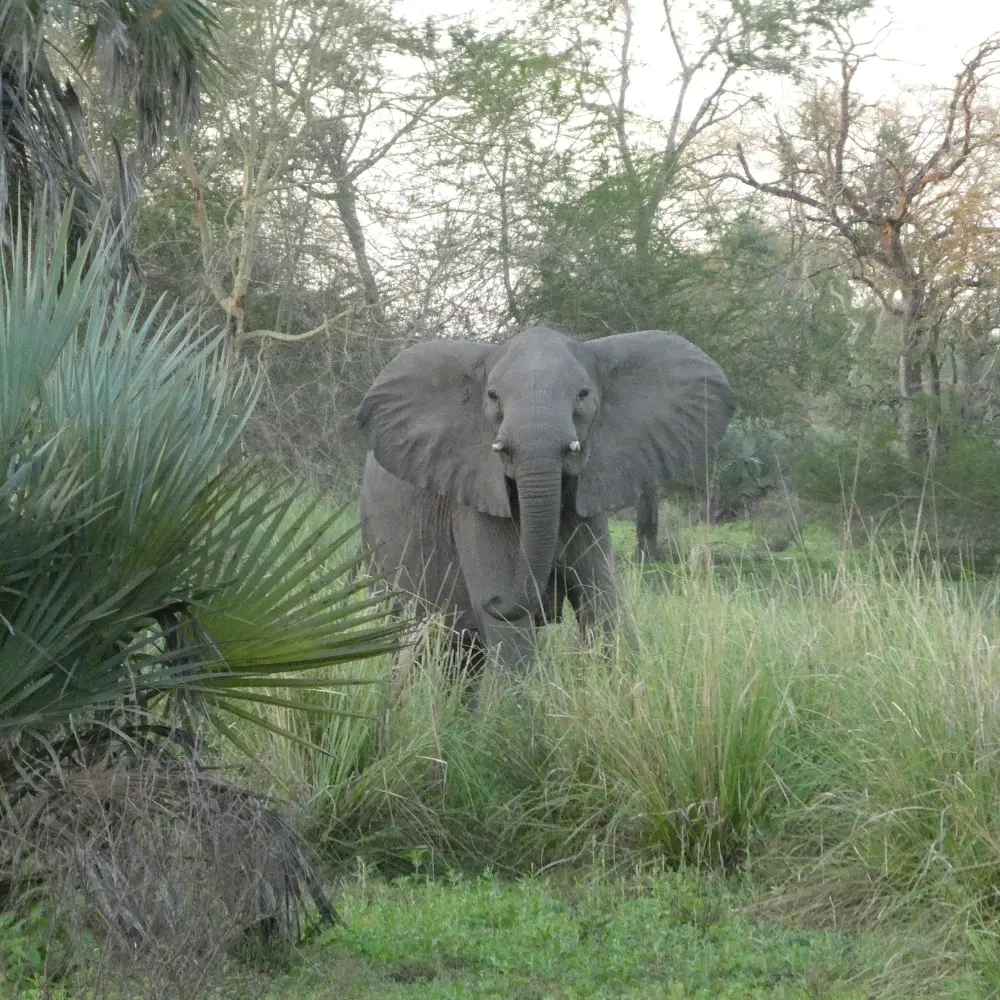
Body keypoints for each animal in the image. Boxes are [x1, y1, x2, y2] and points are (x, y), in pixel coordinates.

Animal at [356, 325, 736, 675]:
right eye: (492, 397)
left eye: (583, 394)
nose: (495, 601)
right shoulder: (474, 498)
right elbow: (511, 636)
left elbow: (604, 604)